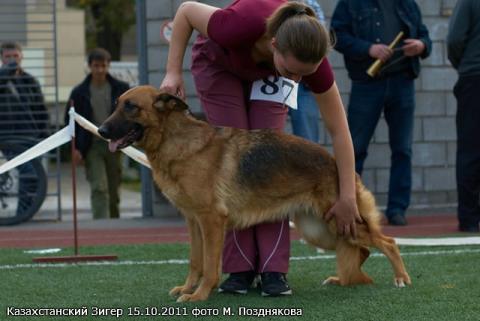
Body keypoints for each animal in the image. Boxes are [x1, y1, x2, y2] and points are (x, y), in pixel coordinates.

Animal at [98, 86, 412, 302]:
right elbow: (195, 260)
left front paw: (199, 295)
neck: (176, 141)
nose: (100, 130)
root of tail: (340, 164)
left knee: (388, 242)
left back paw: (401, 278)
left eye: (131, 107)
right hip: (320, 231)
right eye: (116, 105)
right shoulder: (194, 222)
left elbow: (210, 265)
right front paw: (188, 289)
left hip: (338, 223)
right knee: (362, 250)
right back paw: (341, 279)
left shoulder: (211, 221)